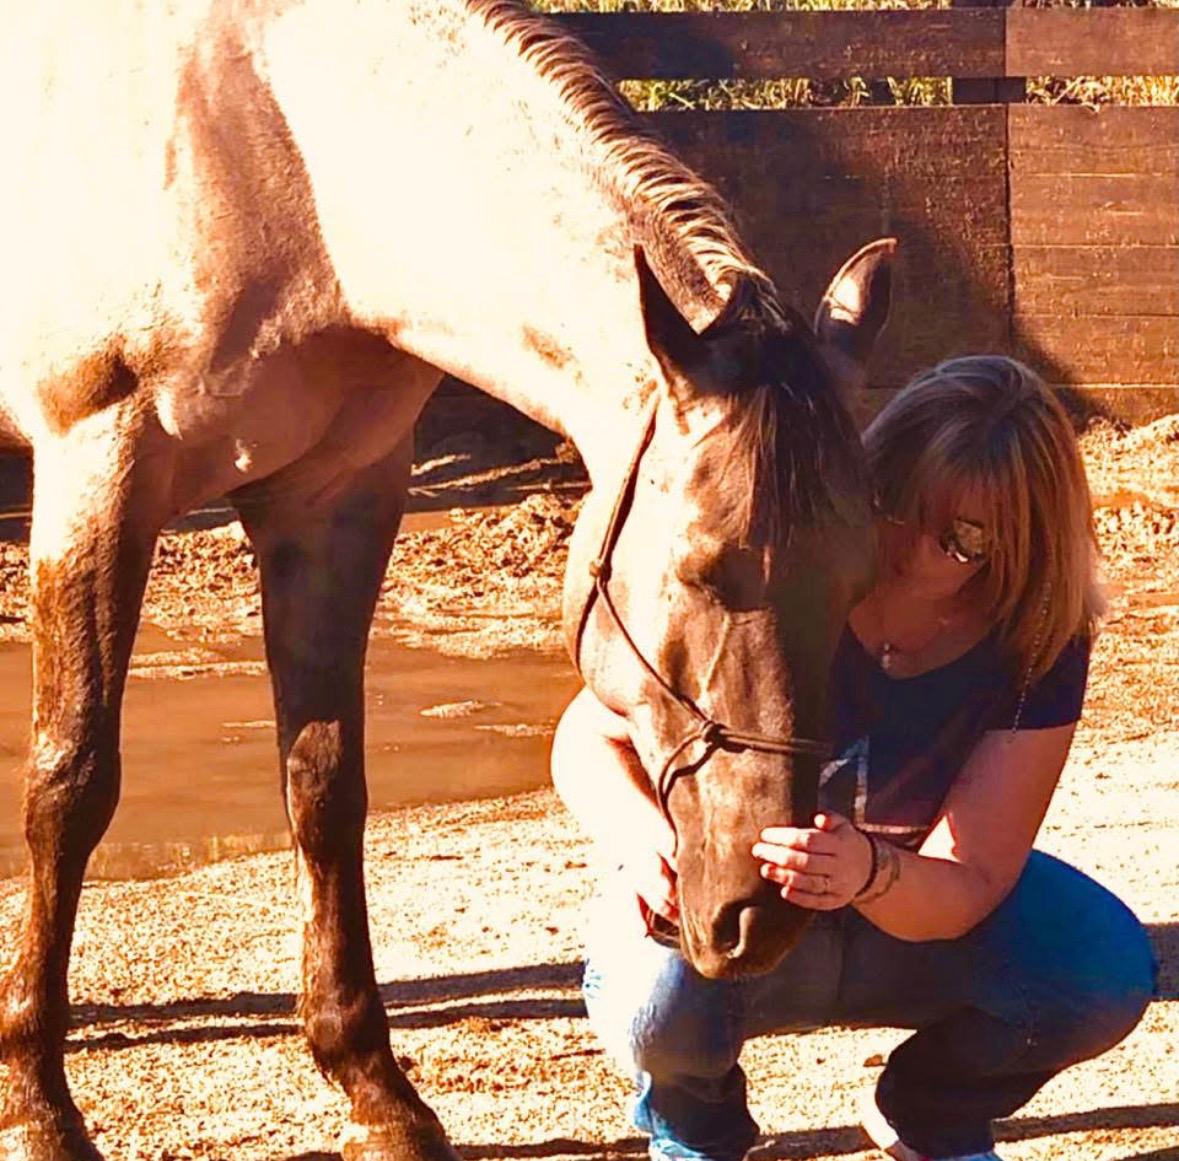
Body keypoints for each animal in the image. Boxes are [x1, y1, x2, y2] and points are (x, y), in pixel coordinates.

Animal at [0, 2, 893, 1158]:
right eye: (702, 568)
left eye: (859, 575)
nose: (767, 910)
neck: (273, 144)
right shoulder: (97, 472)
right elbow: (70, 784)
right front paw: (39, 1100)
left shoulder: (338, 499)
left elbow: (324, 784)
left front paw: (374, 1090)